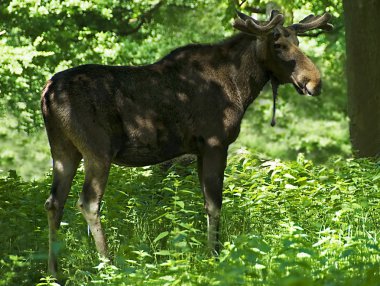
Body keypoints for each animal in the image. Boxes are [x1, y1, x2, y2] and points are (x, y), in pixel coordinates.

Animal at [41, 10, 332, 274]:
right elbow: (215, 204)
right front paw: (214, 256)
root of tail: (47, 94)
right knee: (88, 202)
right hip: (97, 152)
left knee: (54, 202)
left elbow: (205, 203)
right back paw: (108, 266)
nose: (315, 82)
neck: (242, 86)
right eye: (278, 45)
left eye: (298, 41)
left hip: (63, 150)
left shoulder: (200, 150)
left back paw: (54, 272)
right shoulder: (215, 142)